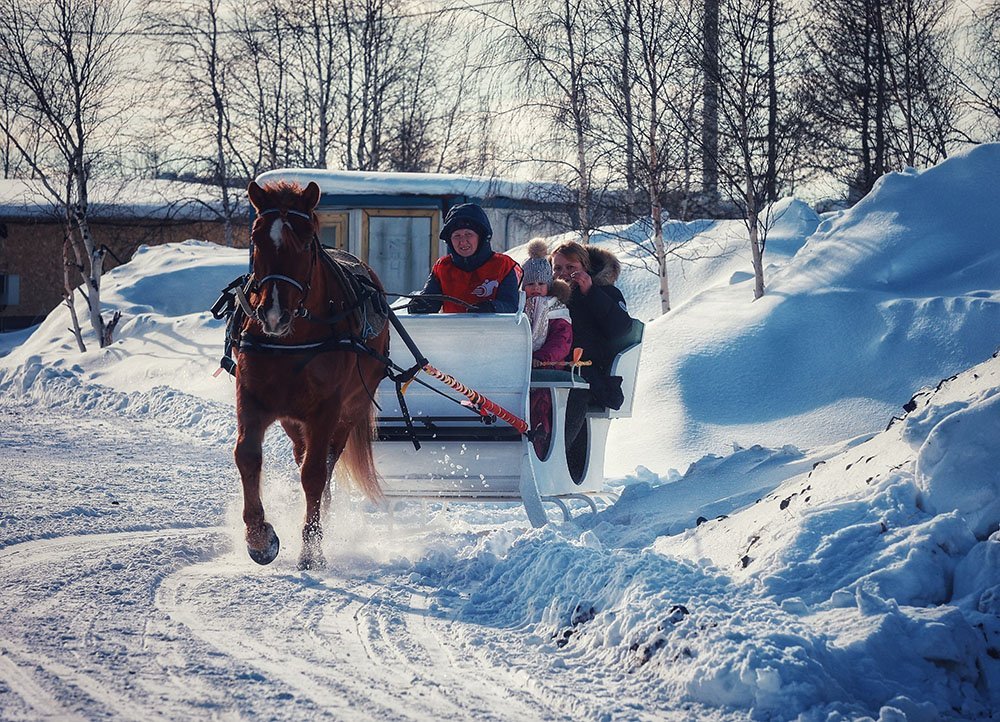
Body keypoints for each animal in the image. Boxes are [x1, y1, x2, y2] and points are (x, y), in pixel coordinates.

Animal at [235, 180, 390, 568]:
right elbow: (247, 455)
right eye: (256, 237)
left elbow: (315, 473)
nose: (273, 313)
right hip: (292, 418)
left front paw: (311, 548)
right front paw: (259, 538)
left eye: (305, 242)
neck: (292, 341)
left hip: (350, 409)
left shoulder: (326, 408)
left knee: (326, 462)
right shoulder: (252, 397)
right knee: (301, 452)